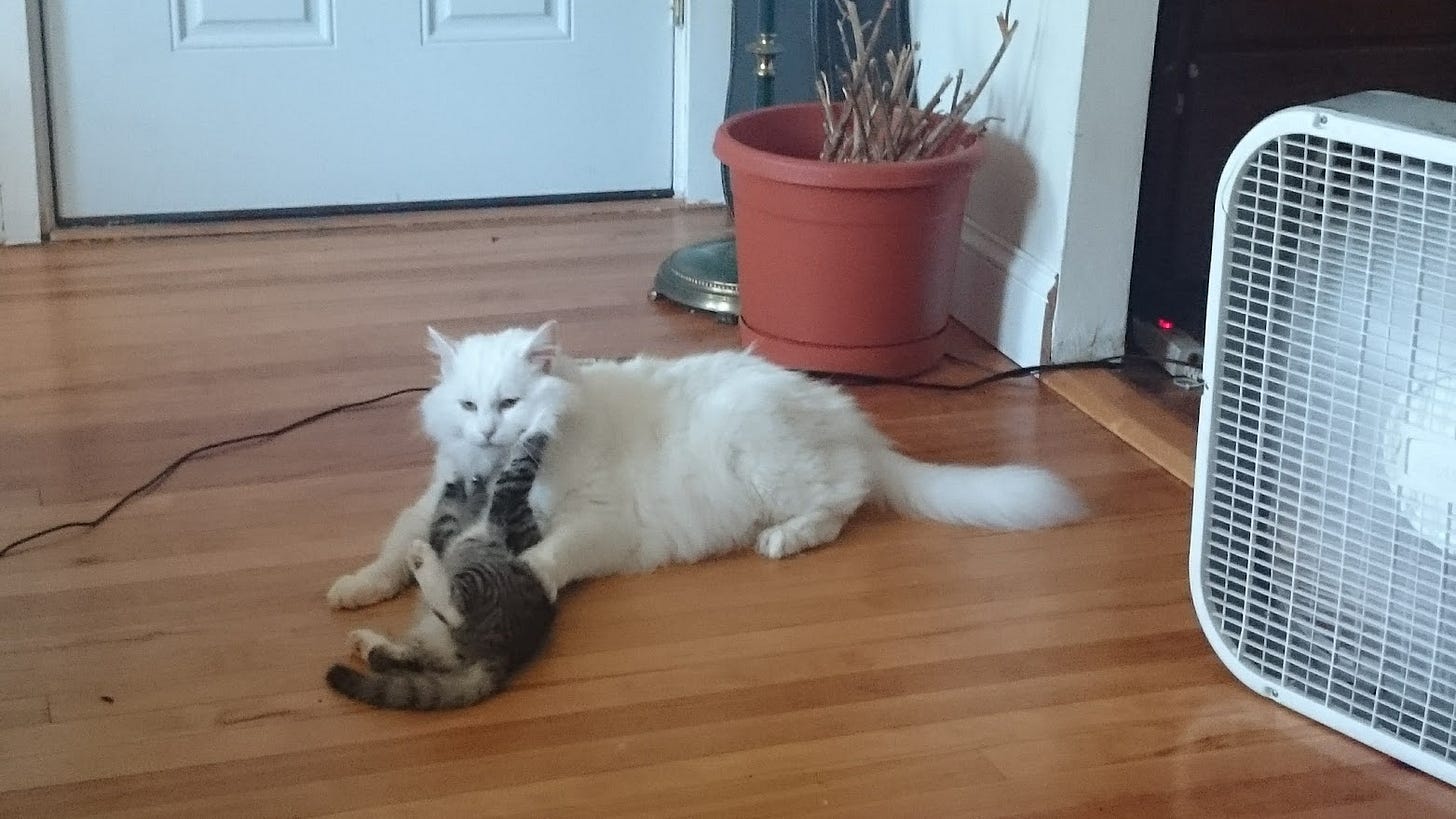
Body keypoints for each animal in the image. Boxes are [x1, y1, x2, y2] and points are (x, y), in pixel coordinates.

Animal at [325, 433, 555, 710]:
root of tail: (502, 655)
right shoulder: (448, 527)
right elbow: (453, 501)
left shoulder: (494, 510)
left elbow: (517, 472)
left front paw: (534, 439)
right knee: (397, 660)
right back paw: (367, 643)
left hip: (481, 581)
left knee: (452, 610)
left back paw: (419, 558)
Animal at [327, 320, 1085, 611]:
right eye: (467, 404)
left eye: (510, 404)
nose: (488, 431)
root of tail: (845, 413)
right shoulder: (428, 505)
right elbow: (393, 551)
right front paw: (356, 588)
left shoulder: (598, 524)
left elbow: (546, 558)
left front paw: (514, 580)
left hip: (764, 449)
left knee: (842, 499)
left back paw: (782, 539)